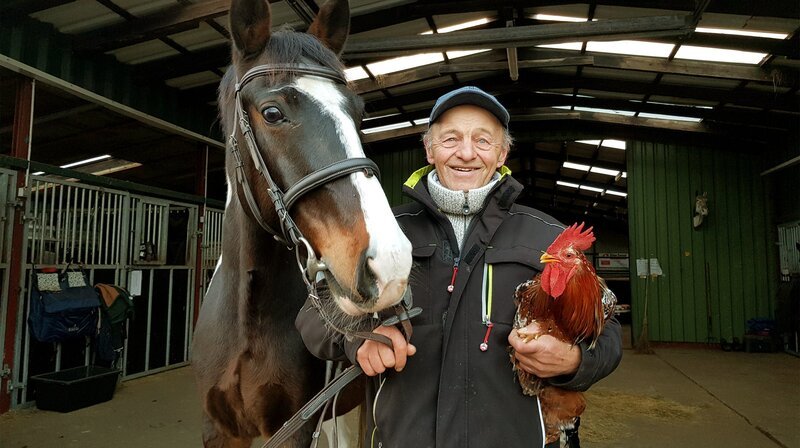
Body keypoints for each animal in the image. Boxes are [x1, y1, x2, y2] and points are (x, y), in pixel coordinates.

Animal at [191, 0, 412, 446]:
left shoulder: (298, 426)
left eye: (358, 114)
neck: (247, 320)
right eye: (272, 112)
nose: (390, 262)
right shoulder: (218, 429)